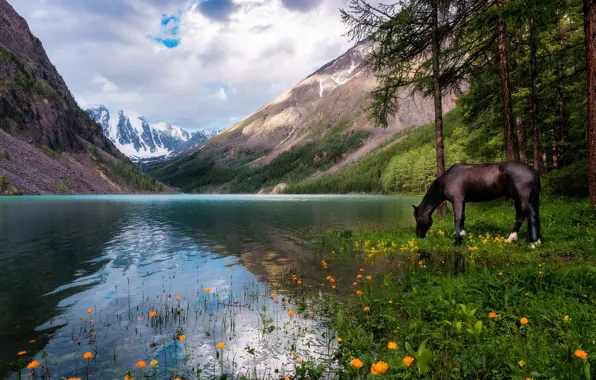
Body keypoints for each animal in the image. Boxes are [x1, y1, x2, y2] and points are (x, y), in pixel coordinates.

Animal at [412, 161, 544, 245]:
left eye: (417, 218)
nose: (418, 235)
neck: (446, 180)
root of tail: (531, 168)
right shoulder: (462, 202)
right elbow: (462, 218)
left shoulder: (457, 200)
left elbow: (457, 219)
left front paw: (459, 238)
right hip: (524, 199)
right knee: (524, 215)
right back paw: (516, 239)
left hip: (521, 198)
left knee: (530, 214)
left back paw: (532, 243)